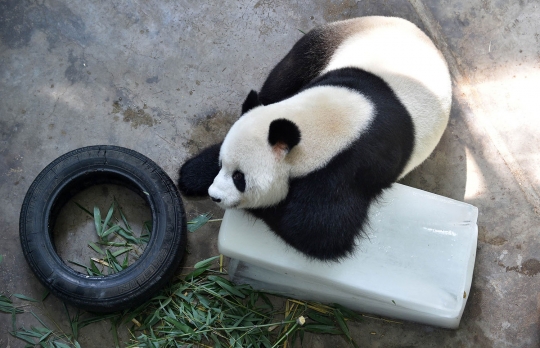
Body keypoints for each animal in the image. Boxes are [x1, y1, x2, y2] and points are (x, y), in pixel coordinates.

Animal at [178, 16, 452, 260]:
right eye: (223, 165)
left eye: (239, 178)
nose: (215, 195)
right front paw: (192, 174)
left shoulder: (350, 167)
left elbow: (317, 231)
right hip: (331, 39)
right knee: (283, 77)